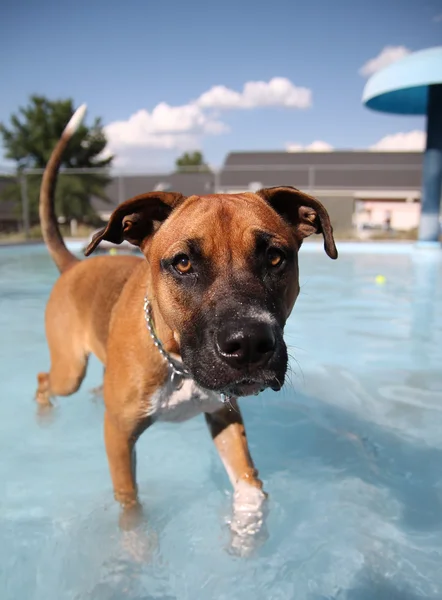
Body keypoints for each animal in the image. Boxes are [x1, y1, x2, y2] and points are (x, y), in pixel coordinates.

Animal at [35, 106, 338, 548]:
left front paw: (248, 535)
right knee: (45, 380)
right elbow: (130, 505)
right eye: (182, 263)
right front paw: (135, 550)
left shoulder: (226, 416)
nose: (250, 343)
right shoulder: (119, 436)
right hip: (68, 370)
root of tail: (75, 265)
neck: (178, 362)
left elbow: (251, 486)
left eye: (276, 257)